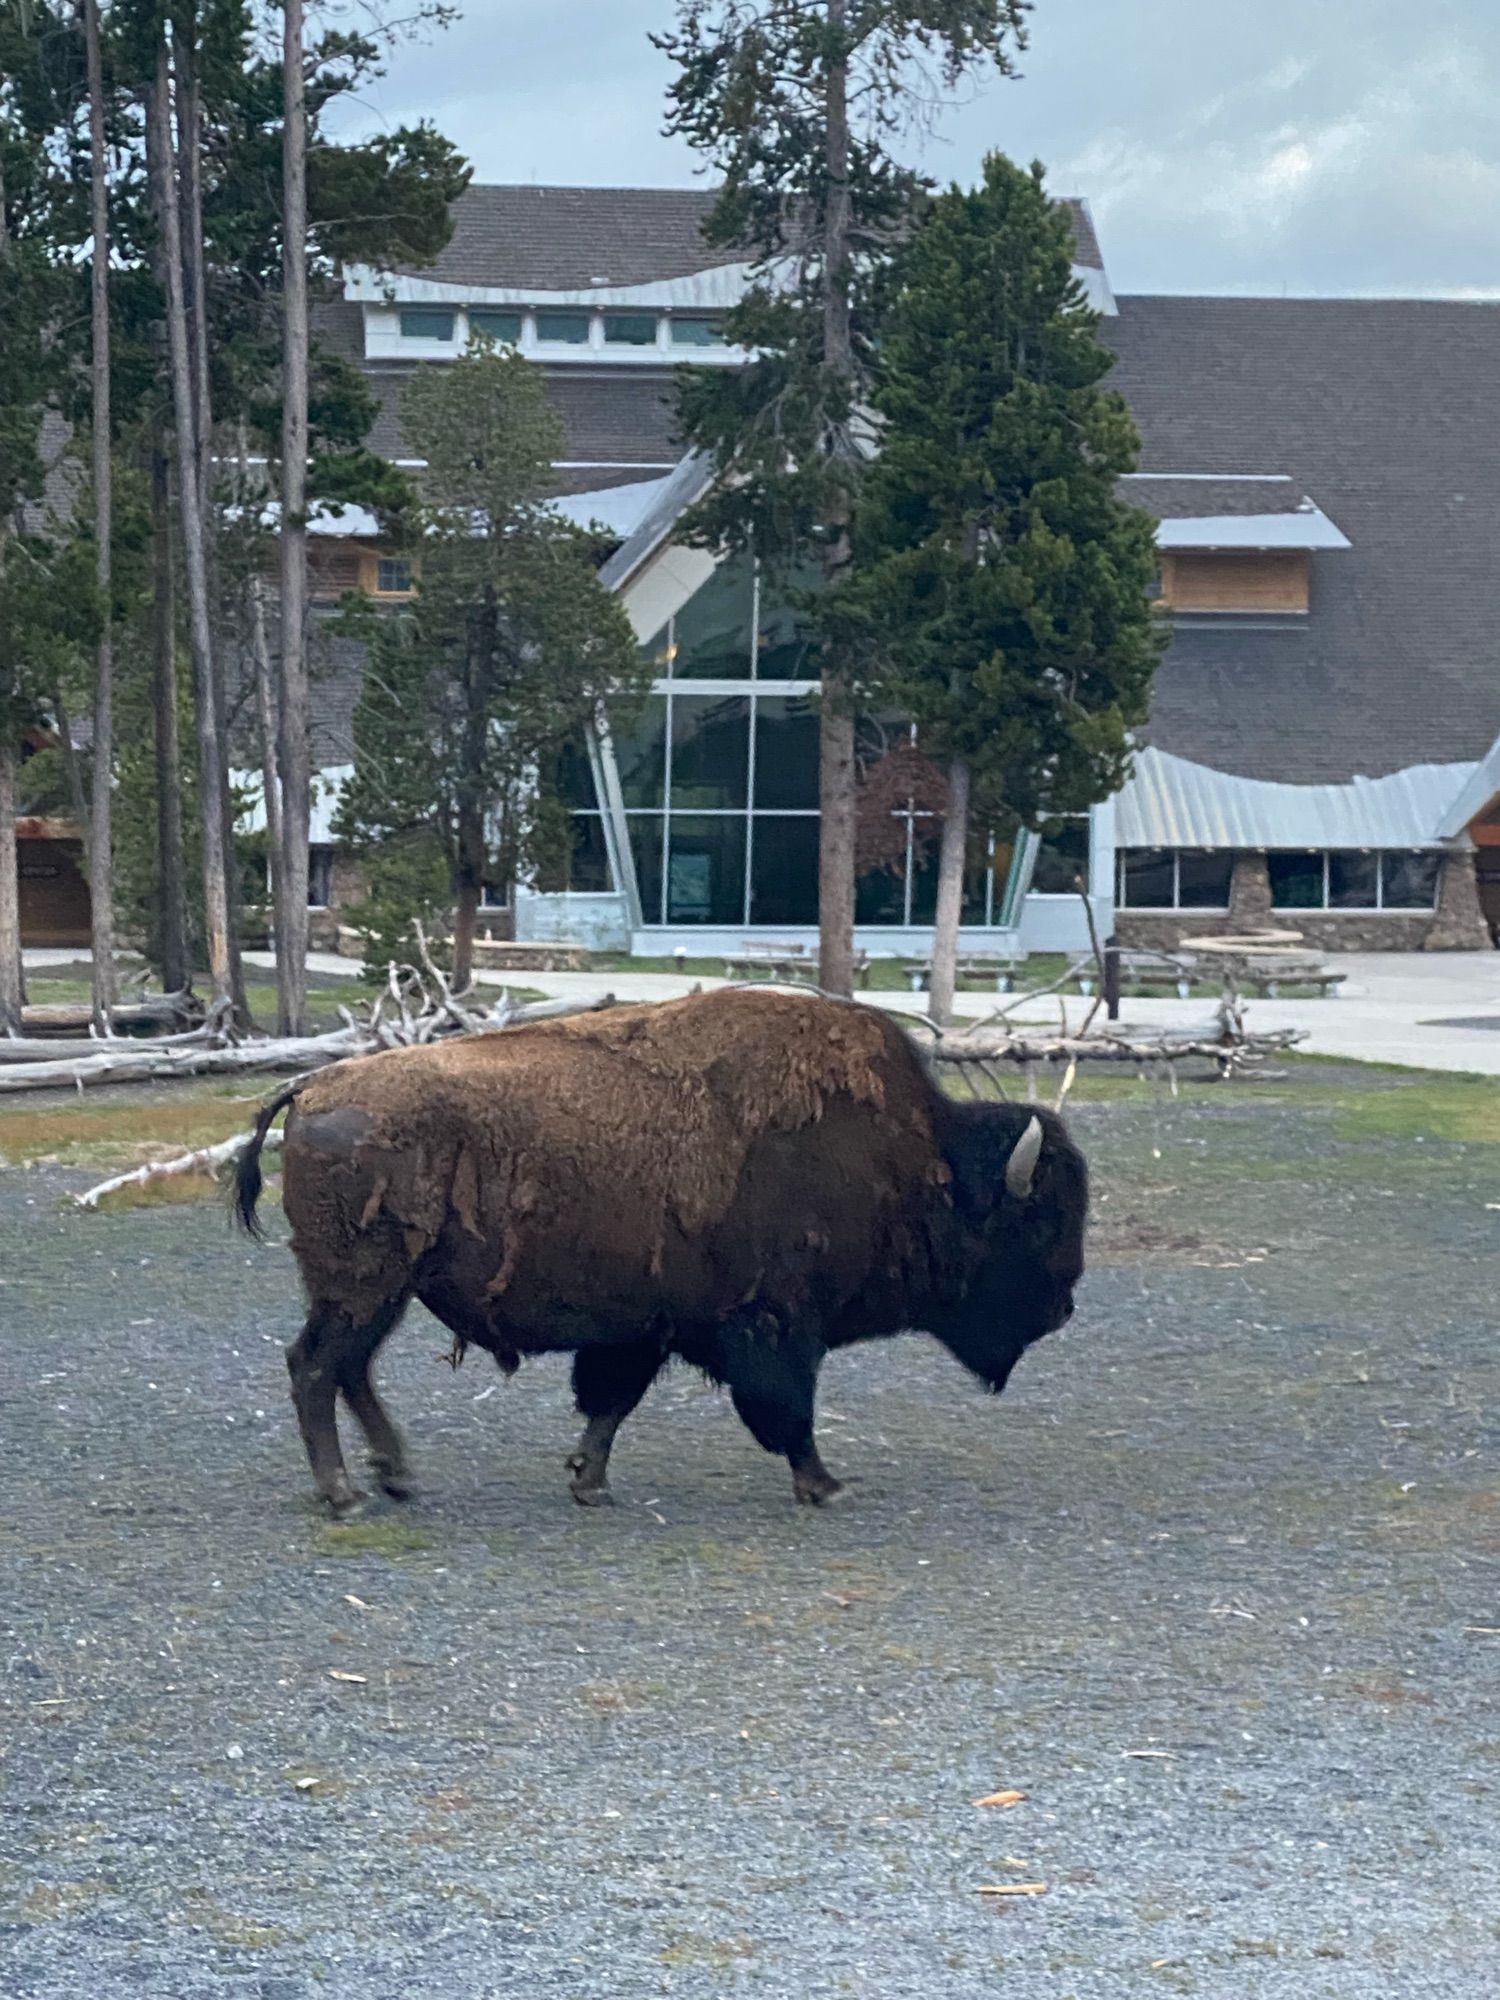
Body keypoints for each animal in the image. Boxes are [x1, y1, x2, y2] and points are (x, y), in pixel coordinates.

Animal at [235, 984, 1088, 1512]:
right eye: (1038, 1223)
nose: (1064, 1305)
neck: (917, 1163)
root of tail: (311, 1089)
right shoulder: (774, 1326)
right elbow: (787, 1411)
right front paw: (825, 1484)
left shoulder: (646, 1328)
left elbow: (612, 1402)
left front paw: (590, 1482)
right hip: (363, 1286)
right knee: (316, 1367)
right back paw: (345, 1493)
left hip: (382, 1291)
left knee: (348, 1369)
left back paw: (398, 1477)